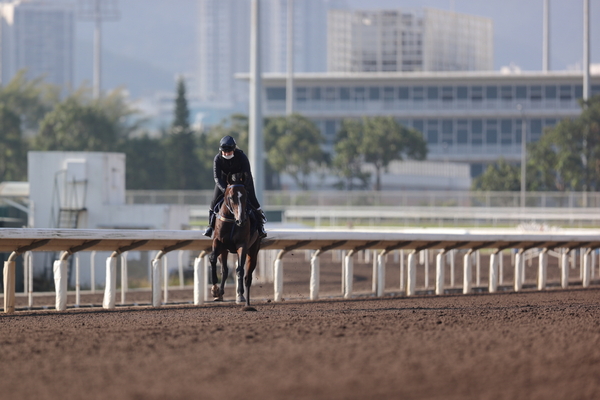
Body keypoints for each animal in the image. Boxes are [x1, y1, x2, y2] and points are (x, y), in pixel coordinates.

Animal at [210, 173, 262, 308]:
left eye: (245, 196)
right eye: (230, 197)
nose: (241, 220)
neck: (232, 220)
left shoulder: (242, 245)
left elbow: (239, 269)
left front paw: (240, 294)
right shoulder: (218, 242)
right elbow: (213, 259)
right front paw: (215, 290)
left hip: (253, 250)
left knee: (248, 276)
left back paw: (246, 299)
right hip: (224, 251)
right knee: (224, 270)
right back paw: (220, 292)